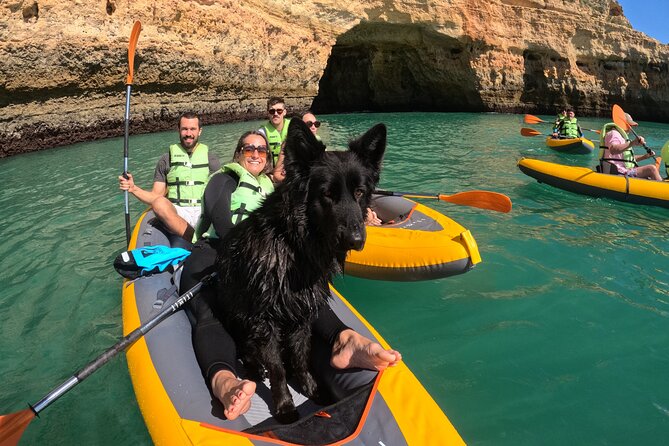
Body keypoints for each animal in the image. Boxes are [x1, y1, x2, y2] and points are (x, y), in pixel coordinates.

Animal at [211, 118, 384, 422]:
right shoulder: (263, 320)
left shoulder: (302, 313)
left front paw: (311, 388)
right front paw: (284, 406)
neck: (293, 247)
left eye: (360, 192)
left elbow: (300, 357)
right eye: (327, 194)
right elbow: (279, 369)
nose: (356, 241)